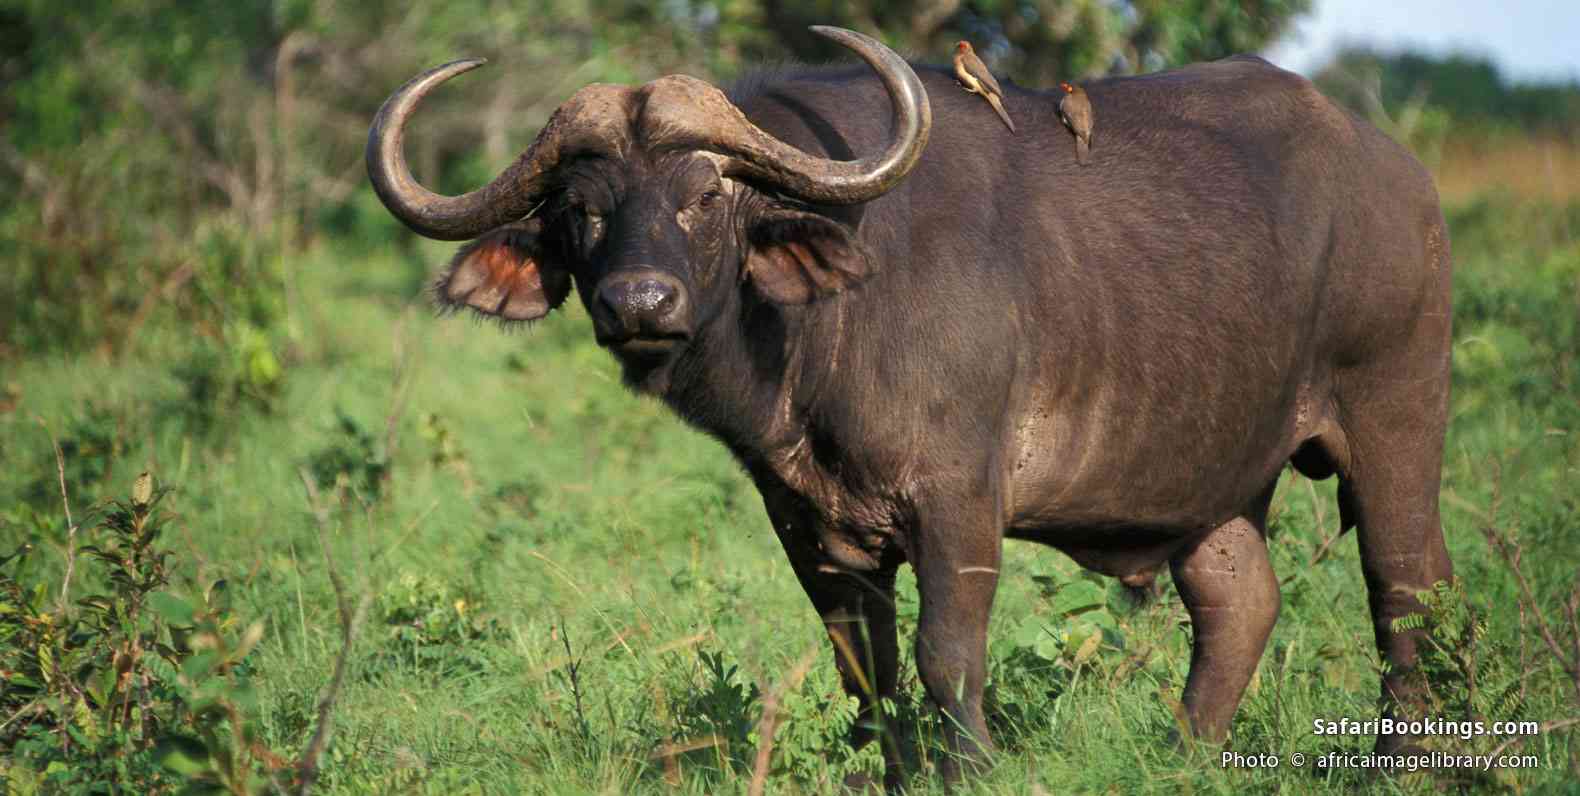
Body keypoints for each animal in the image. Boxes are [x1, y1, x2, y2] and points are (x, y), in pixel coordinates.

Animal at [367, 27, 1455, 787]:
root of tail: (1401, 177)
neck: (819, 335)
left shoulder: (958, 501)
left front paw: (968, 770)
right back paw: (1183, 752)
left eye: (703, 194)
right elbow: (867, 669)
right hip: (1214, 486)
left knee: (1408, 588)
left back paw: (1407, 766)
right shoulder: (807, 523)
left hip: (1394, 418)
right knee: (1241, 602)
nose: (640, 303)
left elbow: (947, 657)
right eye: (581, 209)